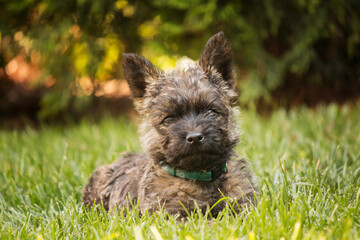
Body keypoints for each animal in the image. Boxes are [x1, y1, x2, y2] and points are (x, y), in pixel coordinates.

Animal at [83, 31, 258, 218]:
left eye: (212, 112)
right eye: (168, 119)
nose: (194, 138)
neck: (200, 177)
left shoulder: (244, 207)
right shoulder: (171, 215)